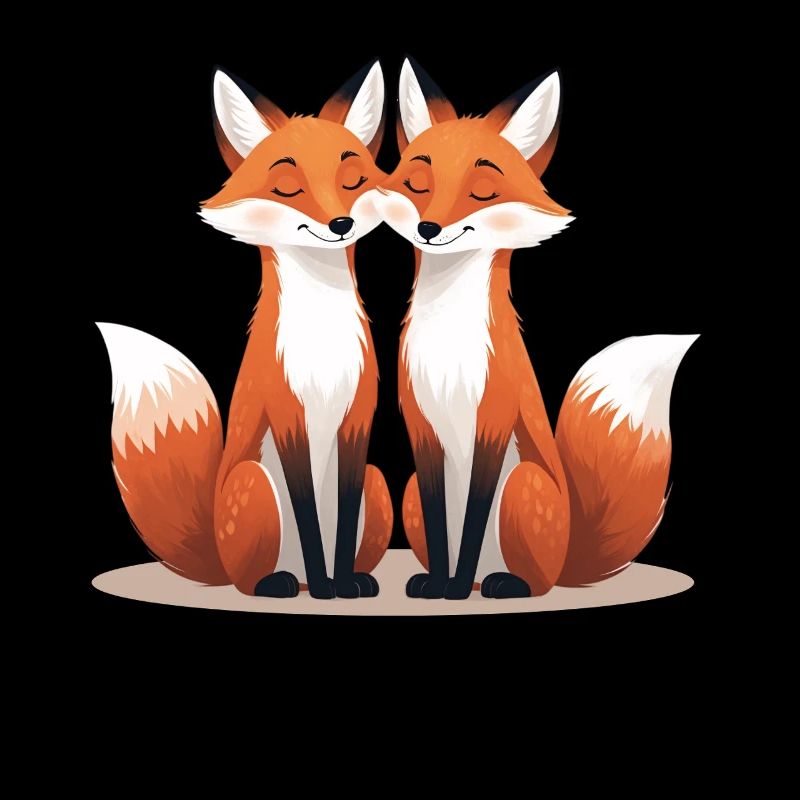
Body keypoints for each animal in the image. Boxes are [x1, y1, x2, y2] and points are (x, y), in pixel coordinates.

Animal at [97, 62, 393, 599]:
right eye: (287, 186)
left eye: (354, 180)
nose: (340, 223)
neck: (322, 345)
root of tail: (215, 550)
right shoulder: (287, 416)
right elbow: (307, 516)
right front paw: (327, 588)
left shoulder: (357, 420)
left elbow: (339, 523)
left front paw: (341, 583)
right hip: (252, 483)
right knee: (253, 577)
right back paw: (283, 584)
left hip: (377, 484)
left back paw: (348, 578)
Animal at [372, 58, 698, 599]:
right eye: (418, 183)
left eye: (483, 190)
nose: (428, 229)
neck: (449, 347)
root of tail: (569, 553)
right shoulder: (422, 430)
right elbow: (444, 528)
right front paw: (439, 583)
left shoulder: (494, 421)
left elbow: (474, 517)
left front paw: (453, 590)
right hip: (413, 492)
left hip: (525, 485)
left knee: (537, 581)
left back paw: (501, 584)